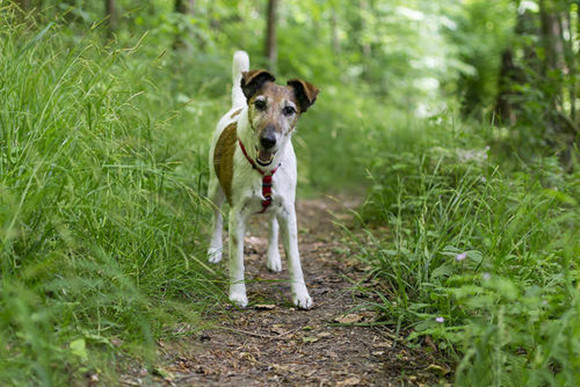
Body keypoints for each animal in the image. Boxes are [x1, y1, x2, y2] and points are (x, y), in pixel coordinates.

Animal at [207, 50, 320, 310]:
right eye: (260, 104)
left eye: (289, 110)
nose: (268, 140)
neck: (264, 170)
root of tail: (238, 106)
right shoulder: (237, 213)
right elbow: (237, 258)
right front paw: (237, 294)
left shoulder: (288, 211)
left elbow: (295, 259)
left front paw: (300, 294)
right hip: (214, 189)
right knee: (216, 218)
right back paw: (215, 250)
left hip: (277, 206)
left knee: (272, 225)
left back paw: (273, 257)